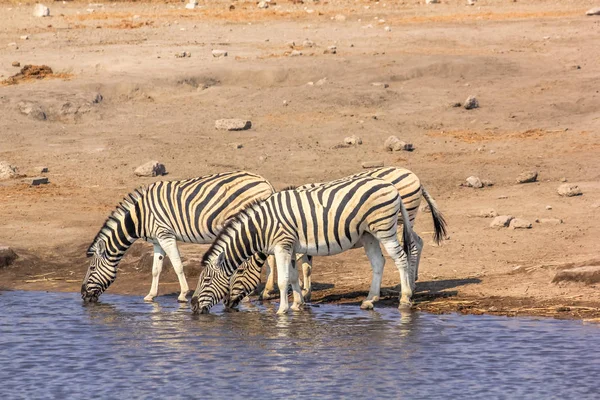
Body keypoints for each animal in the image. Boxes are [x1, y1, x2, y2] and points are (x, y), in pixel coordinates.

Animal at [79, 170, 274, 304]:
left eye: (92, 268)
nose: (82, 295)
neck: (139, 216)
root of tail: (265, 182)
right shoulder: (157, 241)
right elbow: (156, 269)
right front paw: (150, 295)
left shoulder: (165, 234)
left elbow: (178, 265)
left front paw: (182, 294)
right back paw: (266, 292)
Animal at [192, 177, 418, 314]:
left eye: (207, 280)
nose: (193, 306)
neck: (261, 227)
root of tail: (391, 186)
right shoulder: (290, 248)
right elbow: (293, 277)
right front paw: (297, 304)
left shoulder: (282, 246)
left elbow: (283, 280)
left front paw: (282, 310)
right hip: (368, 234)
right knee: (379, 263)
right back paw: (370, 300)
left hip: (384, 228)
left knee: (400, 258)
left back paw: (405, 299)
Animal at [225, 167, 446, 308]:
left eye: (238, 273)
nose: (227, 304)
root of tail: (414, 178)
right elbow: (304, 266)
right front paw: (303, 294)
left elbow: (303, 267)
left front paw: (298, 293)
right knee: (417, 242)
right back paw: (409, 284)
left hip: (397, 221)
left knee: (409, 248)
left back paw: (407, 291)